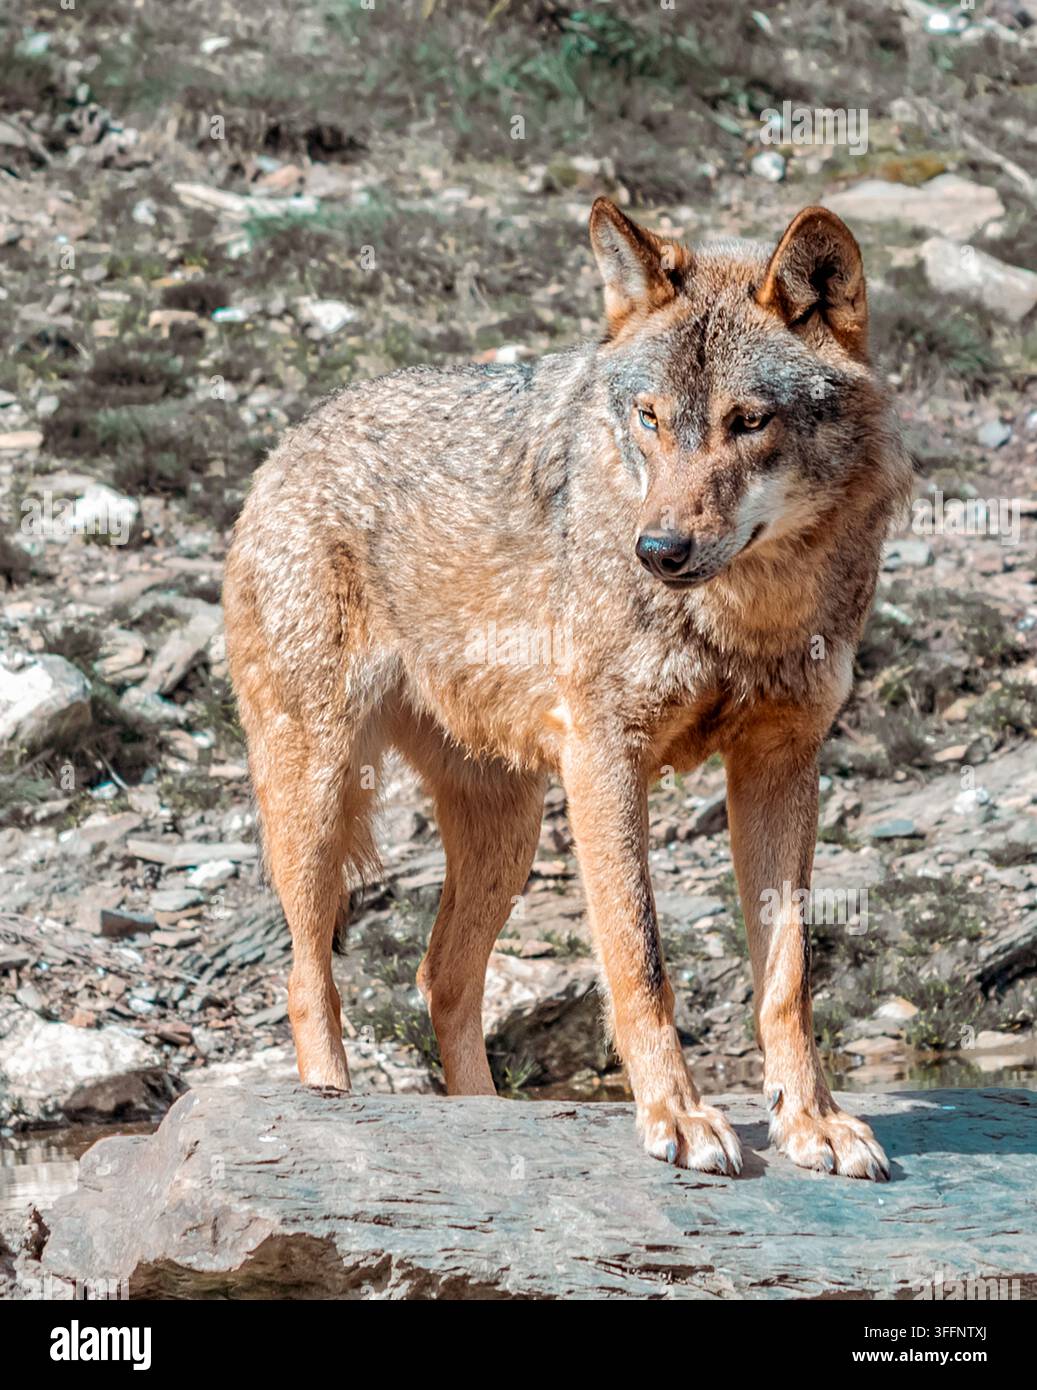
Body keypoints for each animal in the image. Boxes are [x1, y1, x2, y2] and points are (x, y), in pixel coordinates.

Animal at [224, 199, 911, 1179]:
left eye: (748, 421)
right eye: (648, 418)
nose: (657, 550)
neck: (749, 613)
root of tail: (289, 440)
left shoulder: (781, 764)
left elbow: (786, 976)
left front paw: (810, 1122)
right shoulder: (605, 759)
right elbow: (640, 959)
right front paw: (677, 1117)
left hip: (506, 830)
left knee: (441, 976)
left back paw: (482, 1118)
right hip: (316, 799)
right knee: (306, 975)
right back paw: (333, 1106)